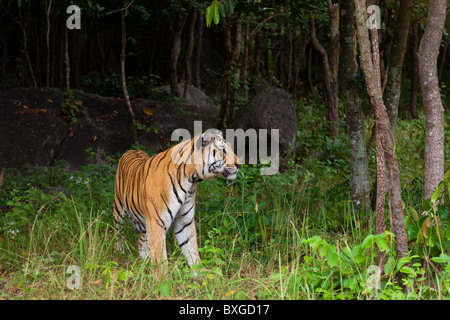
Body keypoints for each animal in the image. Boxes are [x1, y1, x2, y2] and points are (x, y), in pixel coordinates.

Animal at [112, 129, 239, 274]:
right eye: (223, 151)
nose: (239, 164)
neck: (192, 179)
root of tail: (132, 149)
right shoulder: (156, 223)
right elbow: (160, 259)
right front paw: (163, 278)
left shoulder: (184, 220)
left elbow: (191, 248)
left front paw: (200, 274)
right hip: (119, 210)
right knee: (118, 233)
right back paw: (119, 254)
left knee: (141, 240)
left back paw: (145, 261)